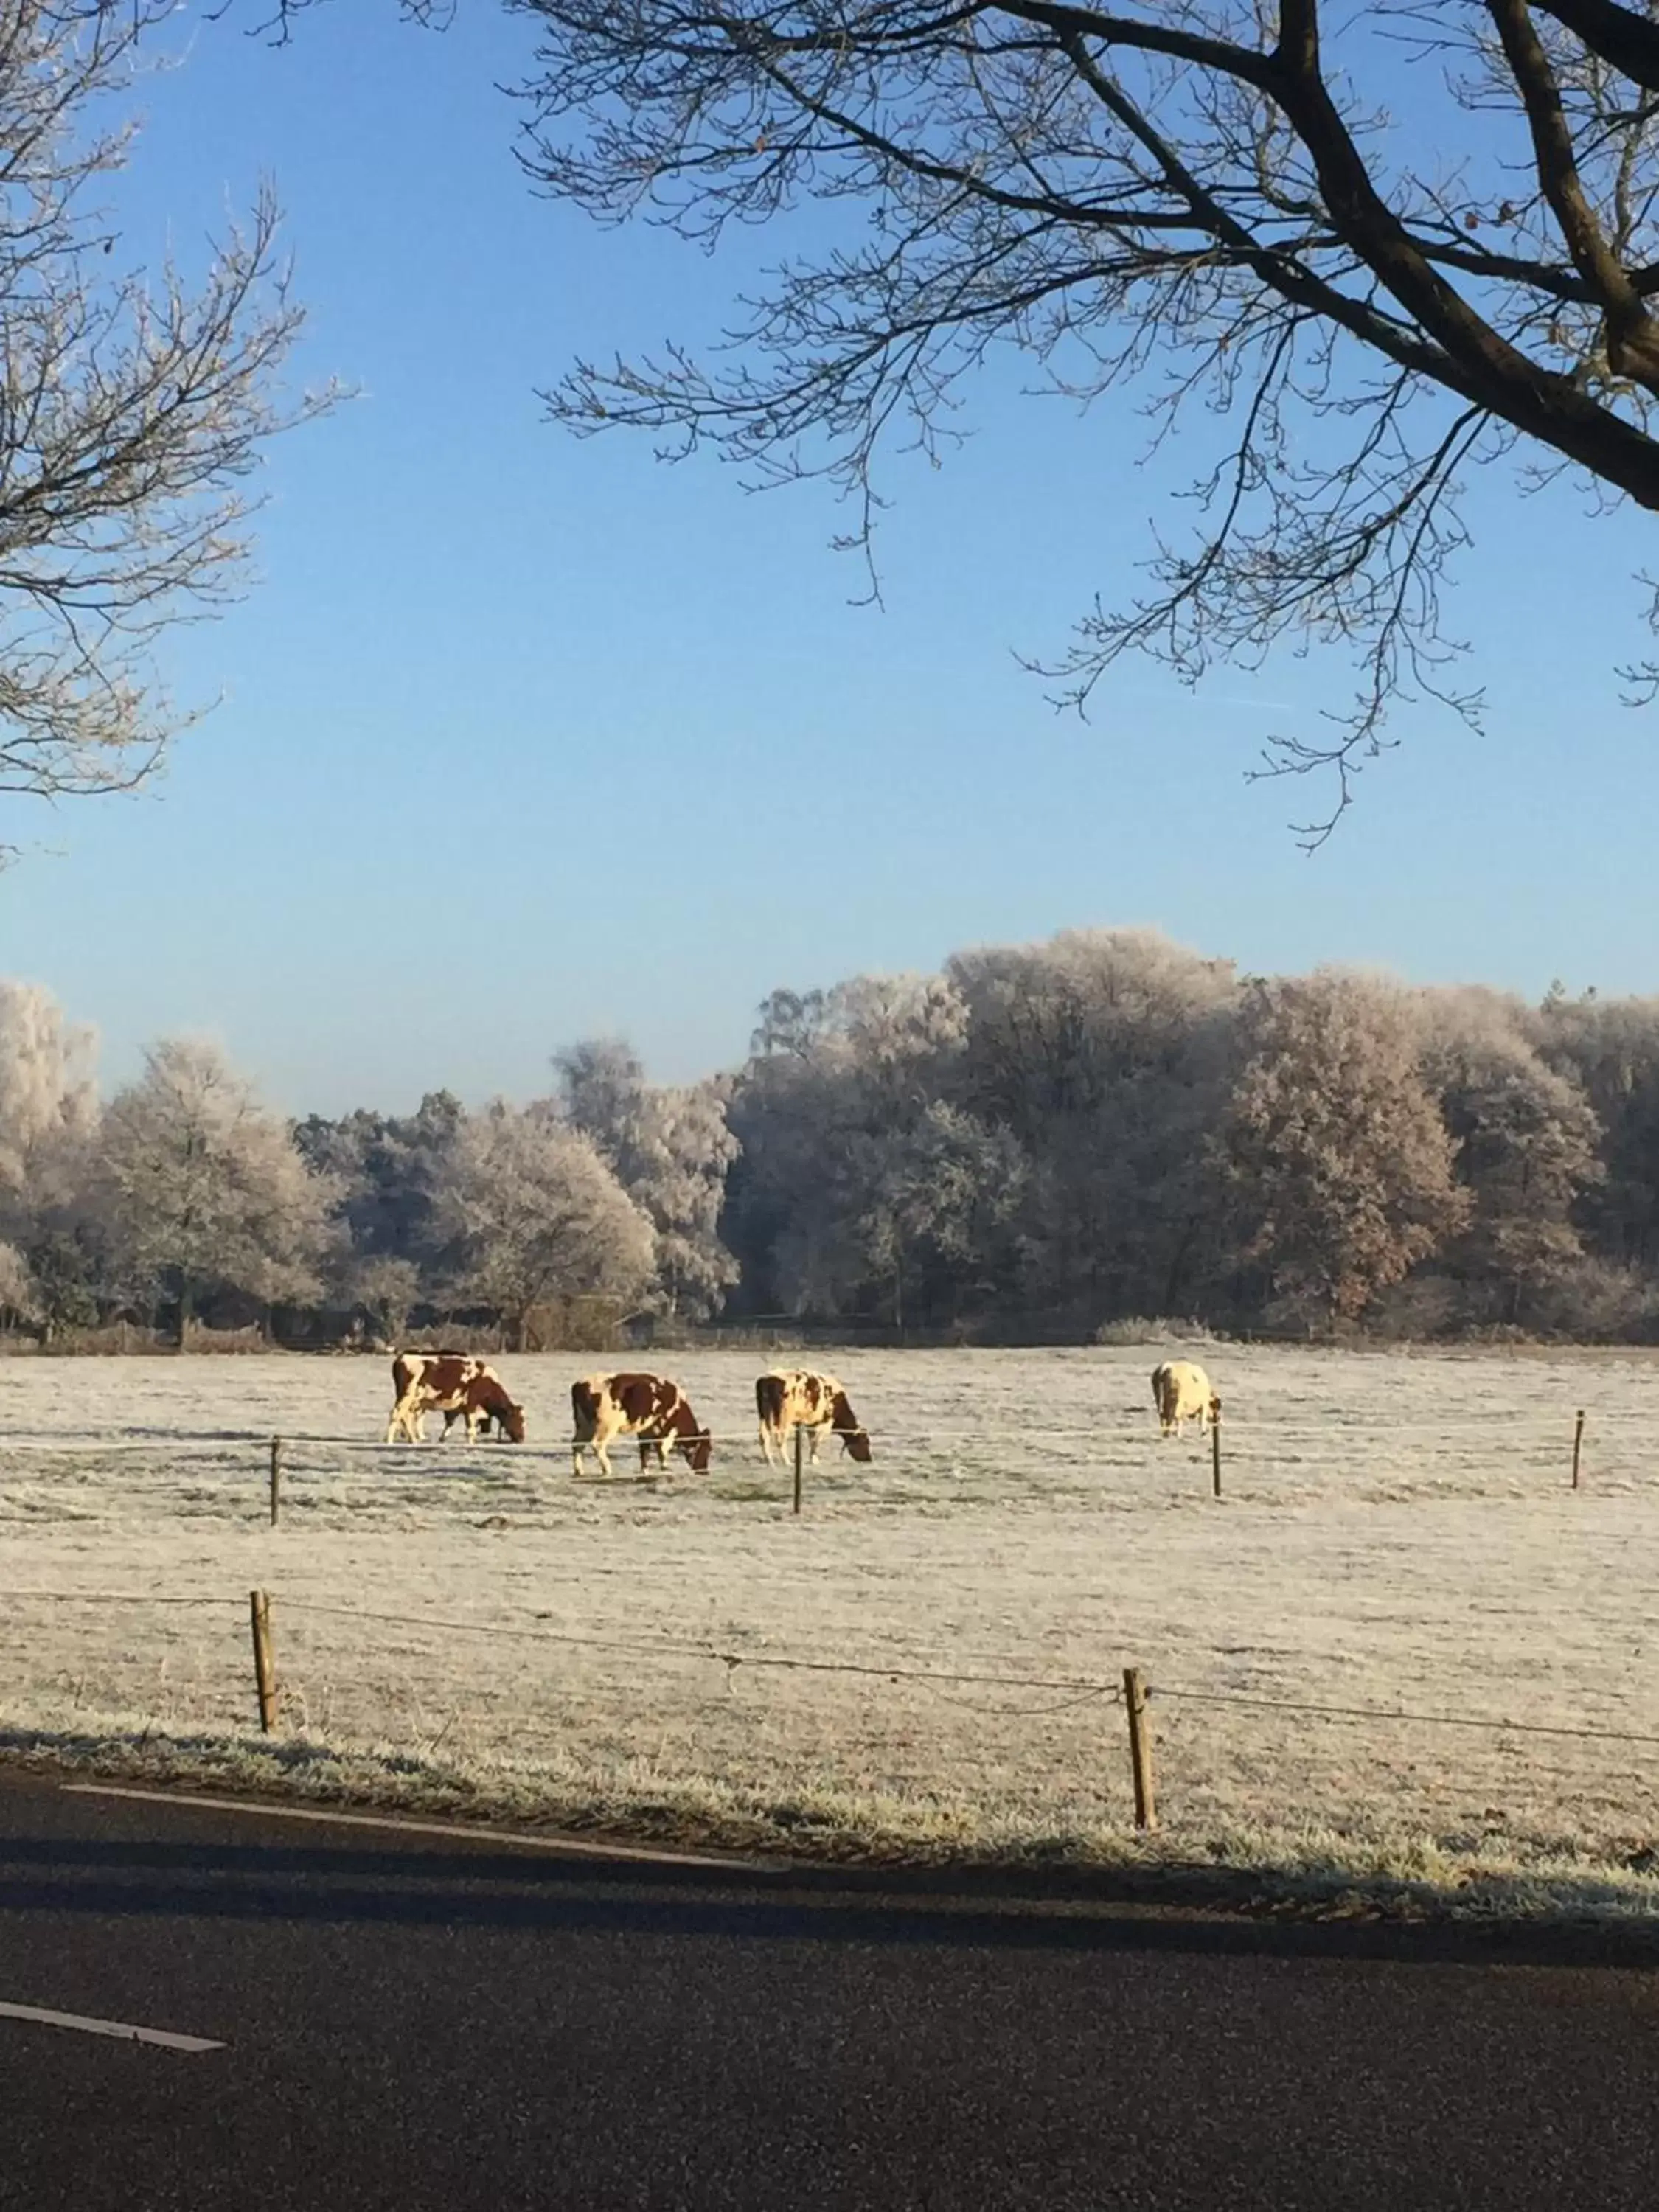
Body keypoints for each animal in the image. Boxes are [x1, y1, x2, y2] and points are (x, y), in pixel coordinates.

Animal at [387, 1345, 529, 1451]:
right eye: (517, 1419)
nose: (521, 1439)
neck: (486, 1382)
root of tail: (402, 1357)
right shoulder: (471, 1405)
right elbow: (470, 1429)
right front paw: (471, 1443)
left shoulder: (458, 1406)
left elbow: (451, 1422)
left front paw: (443, 1438)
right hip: (406, 1396)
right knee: (396, 1414)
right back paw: (389, 1441)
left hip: (411, 1400)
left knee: (405, 1417)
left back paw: (413, 1439)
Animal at [571, 1371, 717, 1478]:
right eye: (707, 1449)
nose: (705, 1472)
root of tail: (579, 1385)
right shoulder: (663, 1427)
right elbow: (662, 1448)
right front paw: (665, 1467)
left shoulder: (646, 1429)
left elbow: (645, 1448)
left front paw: (645, 1470)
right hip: (605, 1427)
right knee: (597, 1445)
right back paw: (607, 1469)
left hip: (584, 1425)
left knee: (577, 1444)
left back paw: (579, 1471)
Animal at [761, 1363, 876, 1469]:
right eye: (865, 1441)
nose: (869, 1459)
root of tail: (768, 1378)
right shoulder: (825, 1423)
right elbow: (816, 1442)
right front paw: (814, 1461)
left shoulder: (812, 1423)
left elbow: (812, 1440)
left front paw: (813, 1460)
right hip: (784, 1418)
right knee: (780, 1438)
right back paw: (787, 1462)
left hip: (764, 1415)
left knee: (764, 1436)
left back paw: (770, 1462)